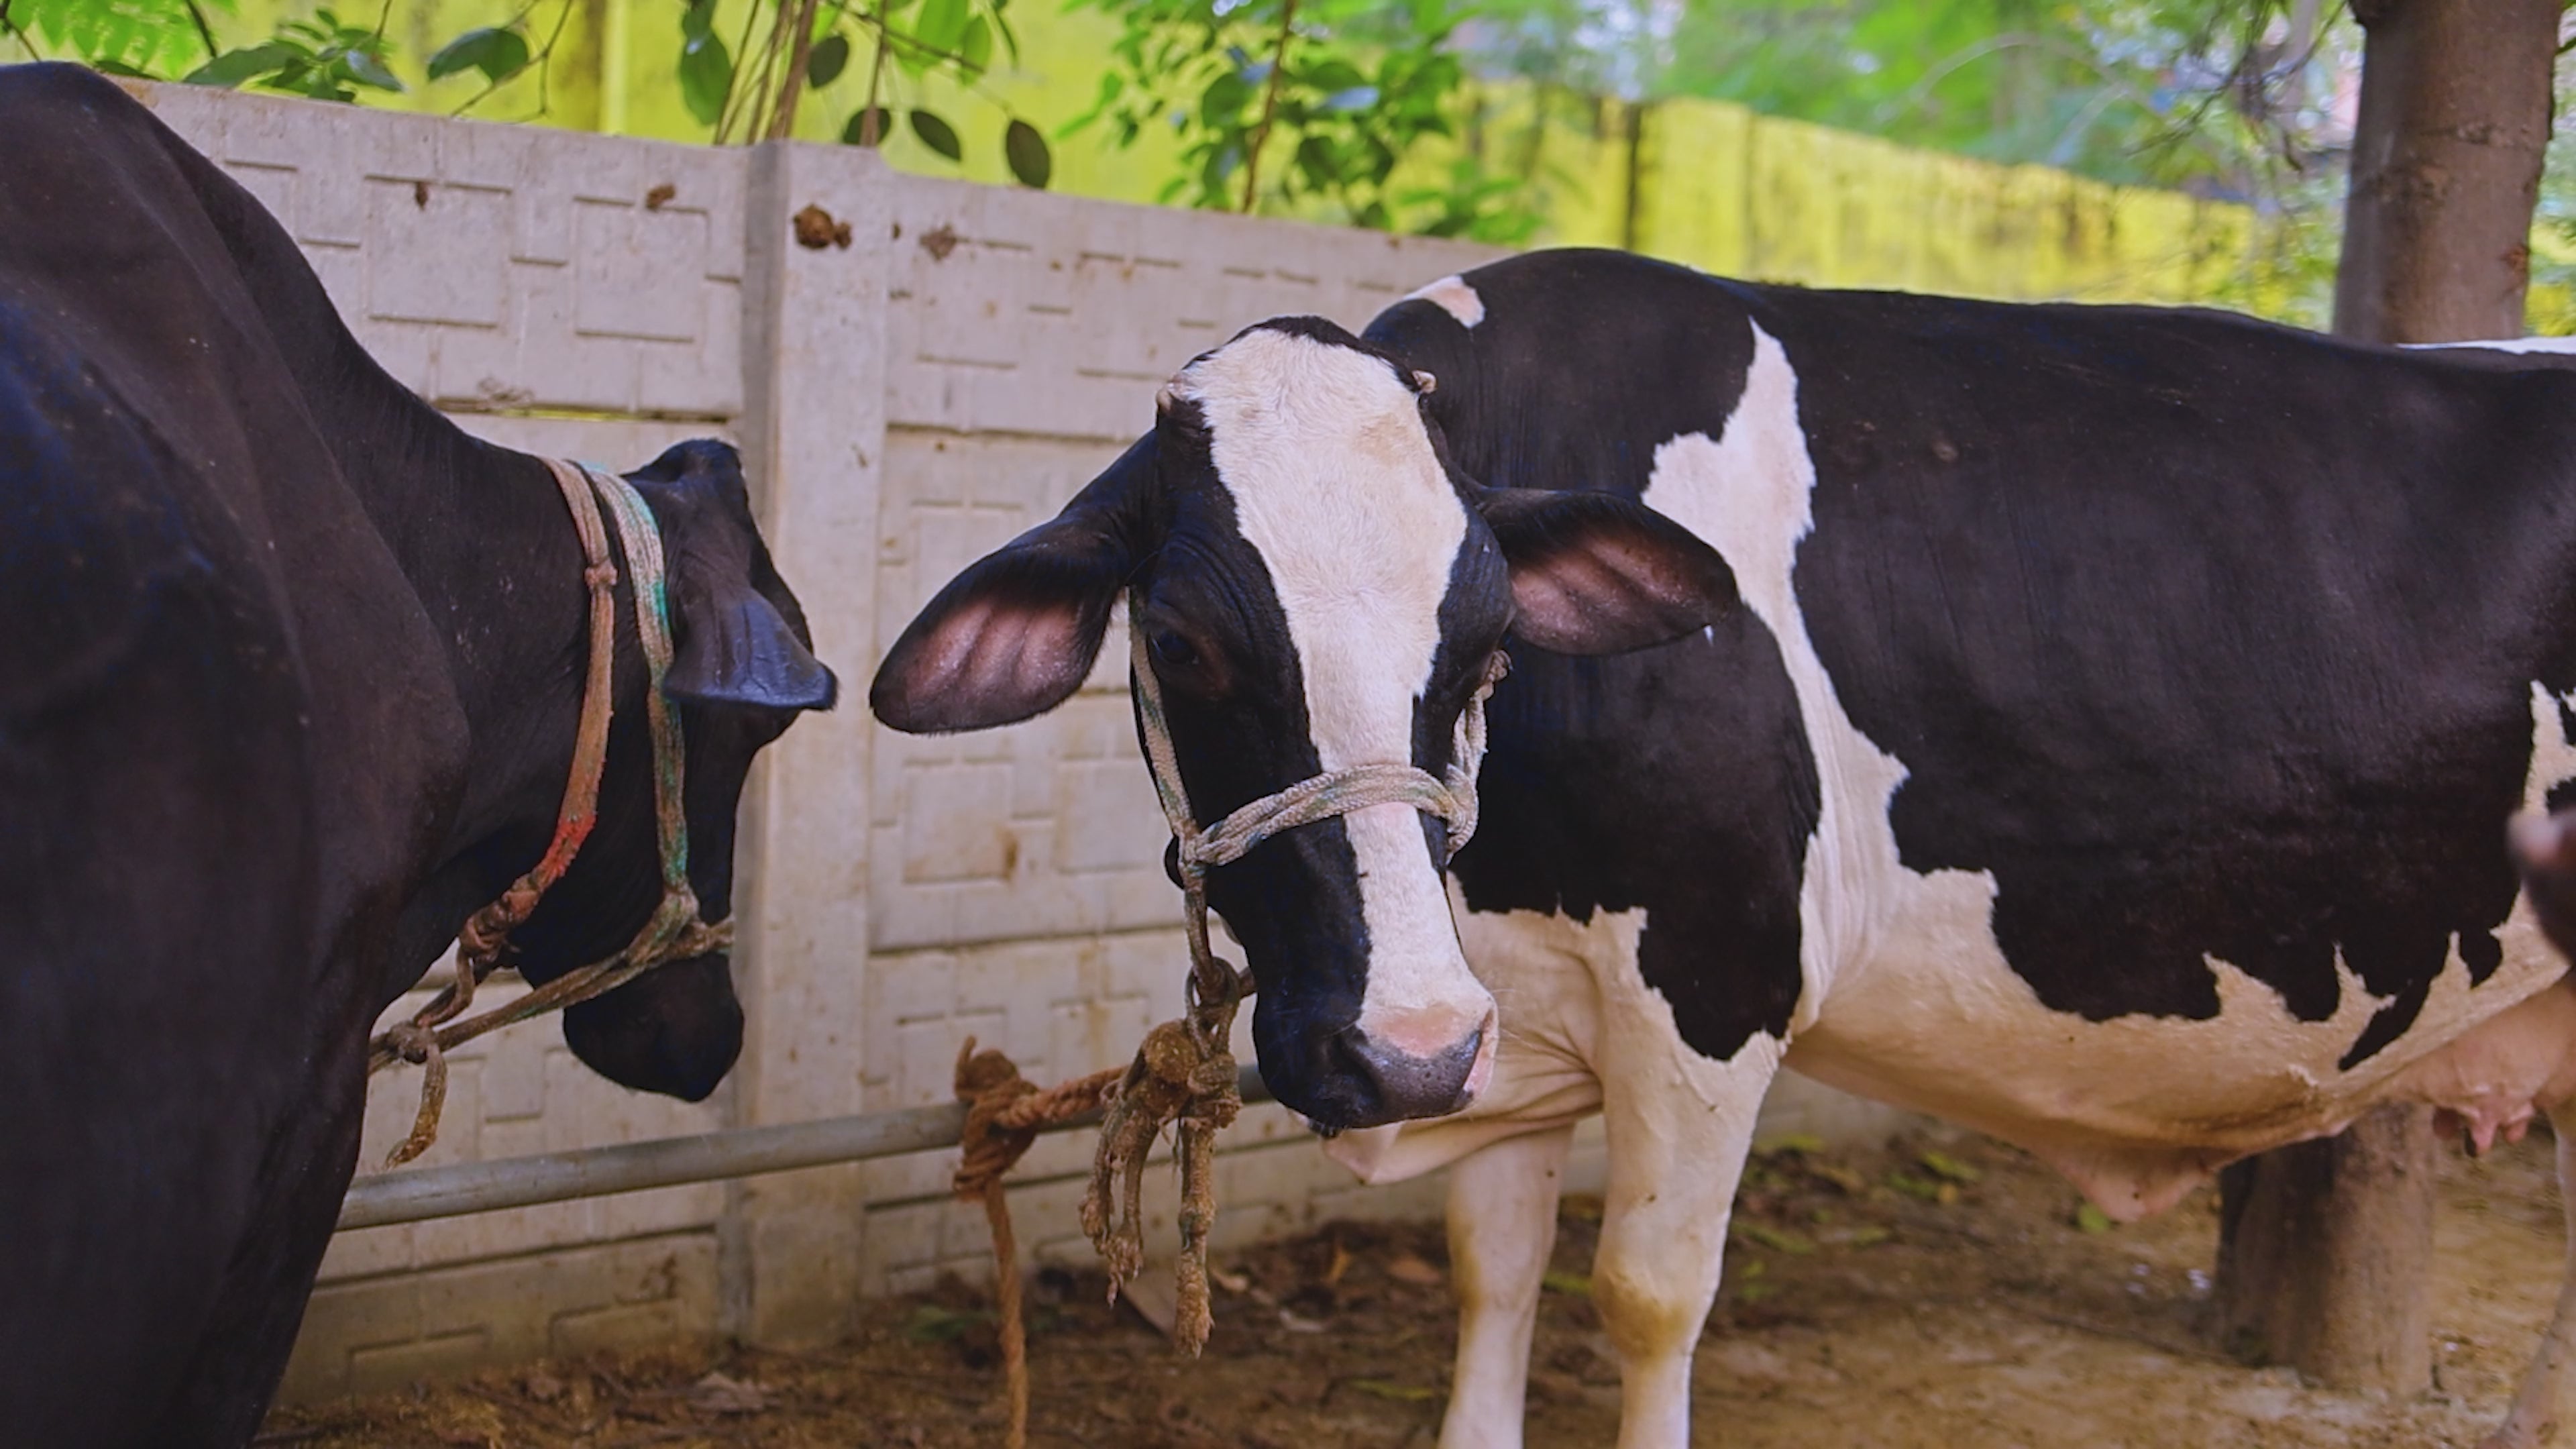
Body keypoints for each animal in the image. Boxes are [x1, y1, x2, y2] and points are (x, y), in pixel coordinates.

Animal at [872, 245, 2576, 1447]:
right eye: (1178, 640)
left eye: (1487, 640)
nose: (1396, 1045)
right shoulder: (1506, 1016)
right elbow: (1493, 1275)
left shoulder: (1712, 975)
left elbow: (1643, 1294)